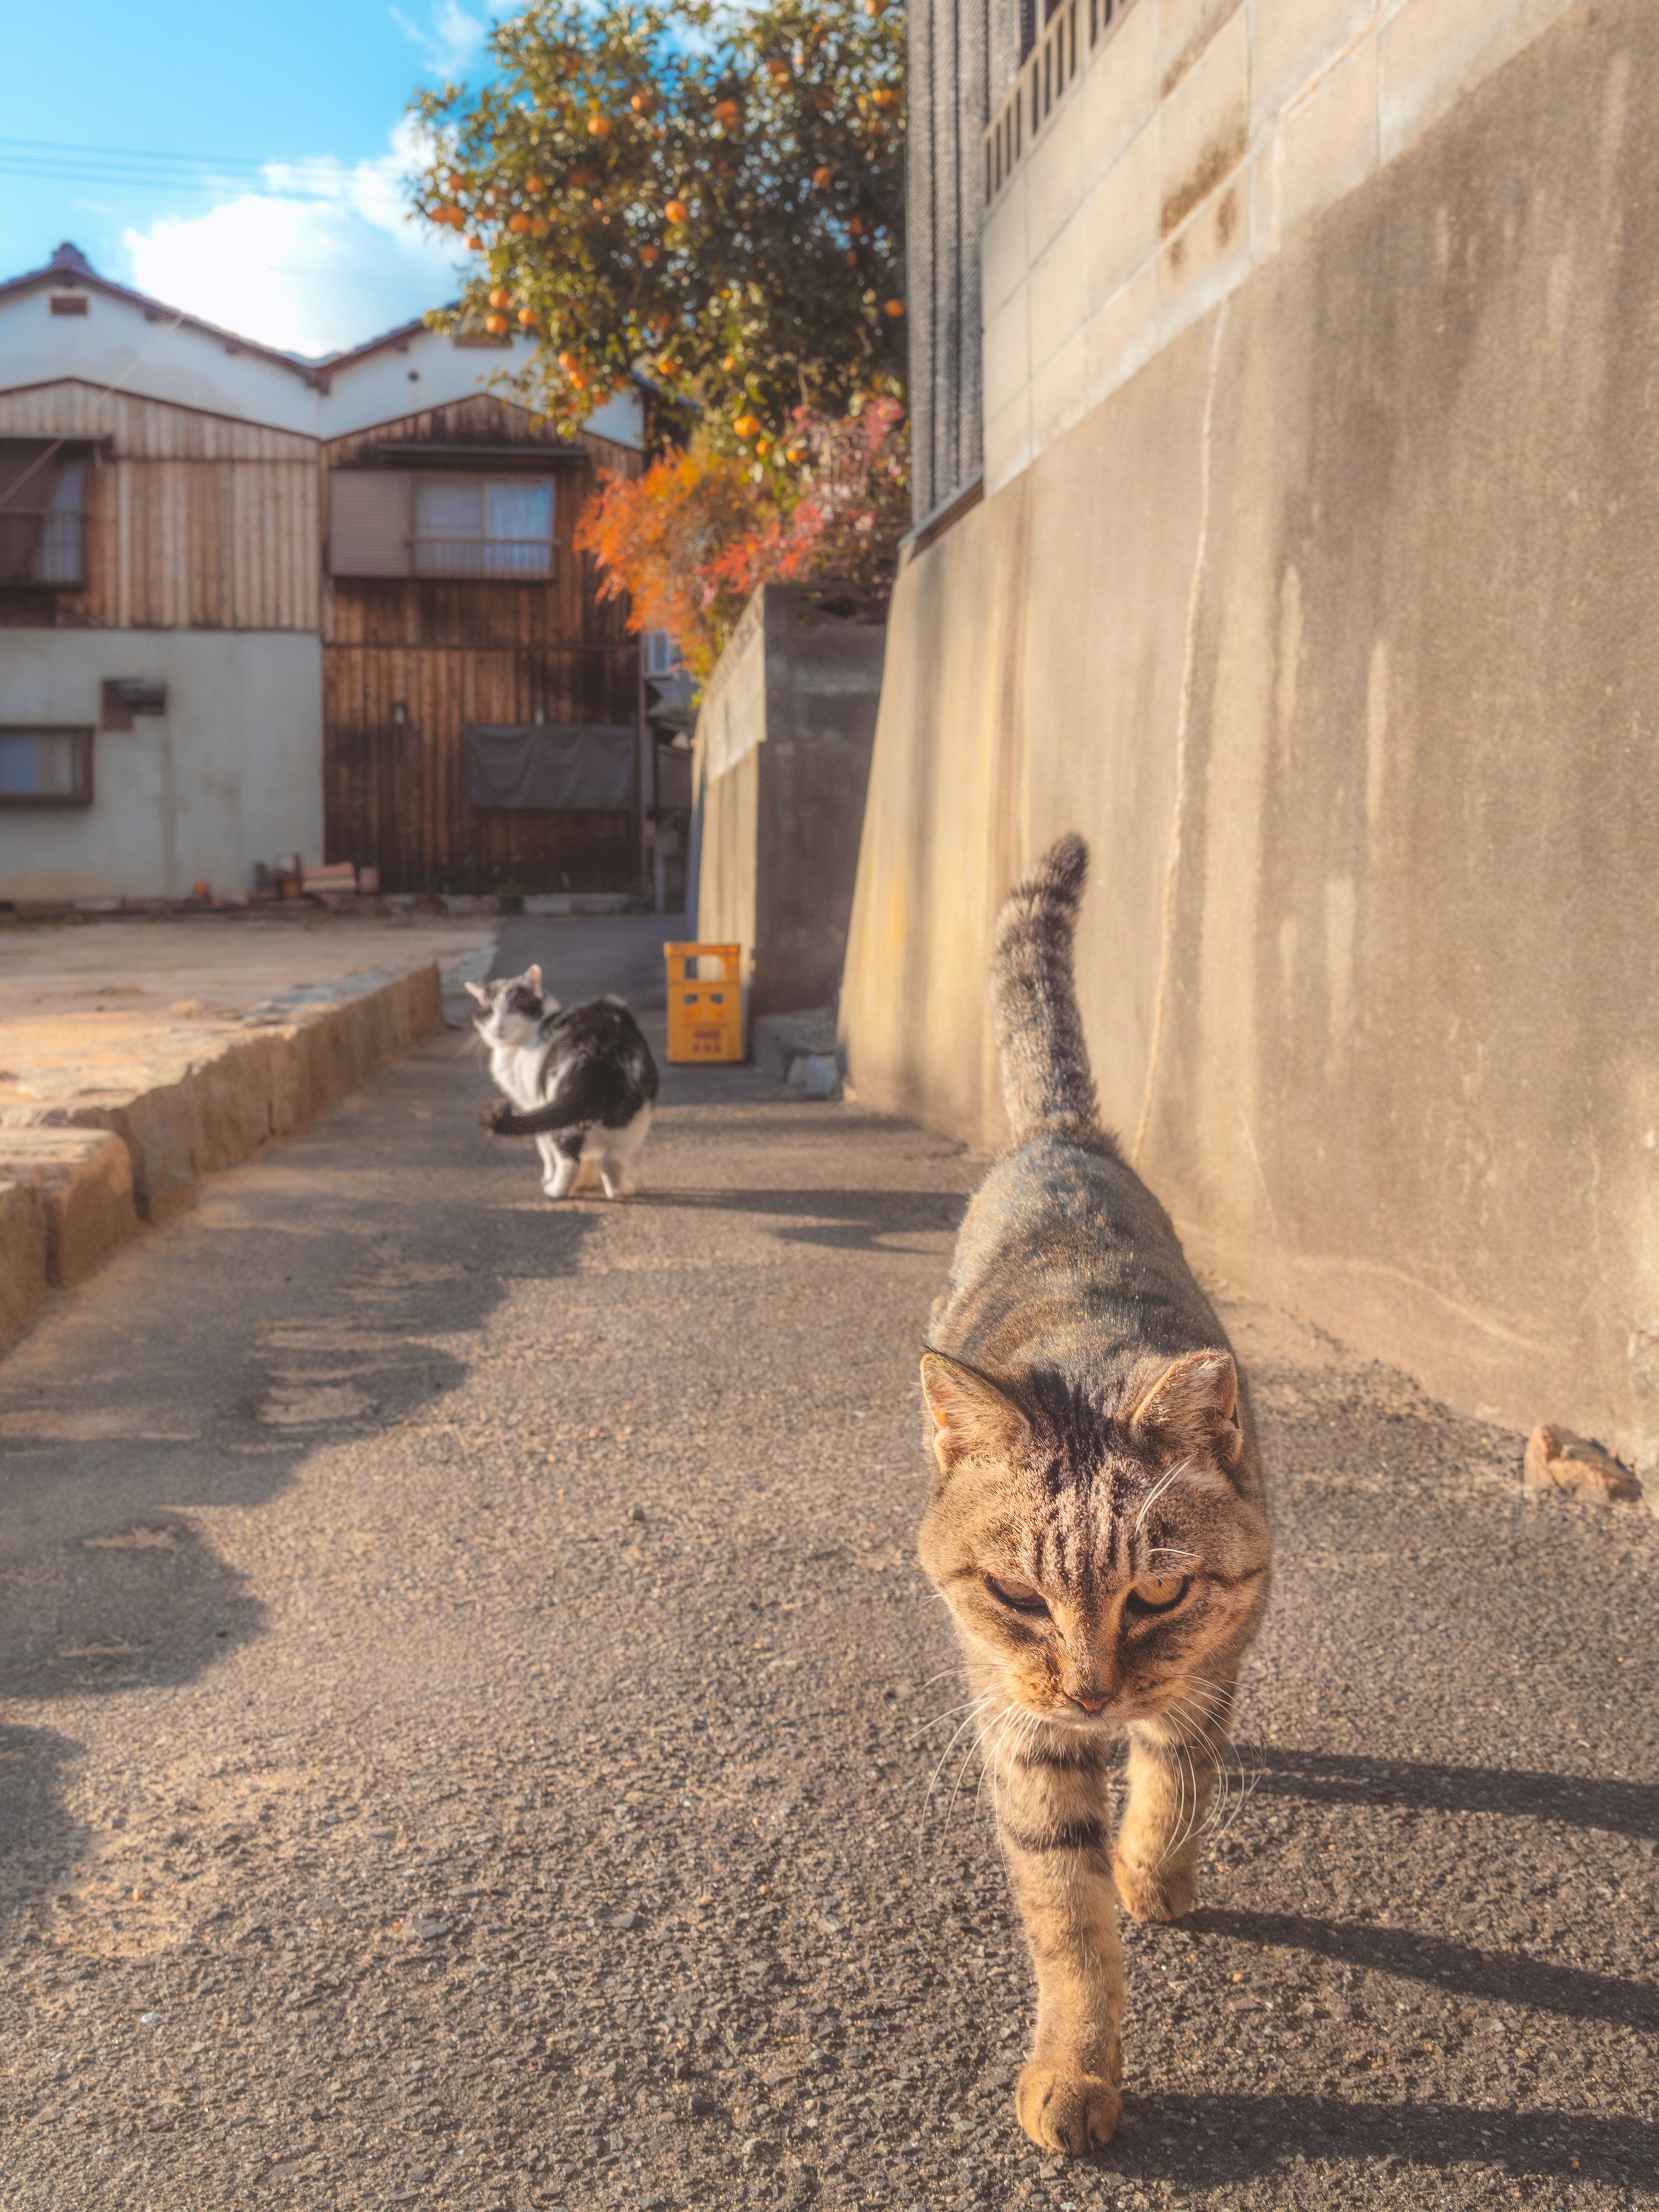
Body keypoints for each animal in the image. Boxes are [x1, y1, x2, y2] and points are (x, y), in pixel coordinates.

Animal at [471, 964, 659, 1203]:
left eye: (514, 1007)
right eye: (489, 1012)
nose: (498, 1028)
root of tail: (602, 1048)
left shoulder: (531, 1102)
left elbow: (545, 1150)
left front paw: (549, 1178)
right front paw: (588, 1181)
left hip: (556, 1104)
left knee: (568, 1157)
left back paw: (555, 1191)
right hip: (637, 1120)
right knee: (612, 1159)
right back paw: (621, 1190)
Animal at [925, 831, 1274, 2141]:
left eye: (1156, 1596)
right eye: (1019, 1595)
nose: (1089, 1691)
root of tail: (1062, 1132)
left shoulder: (1213, 1653)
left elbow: (1178, 1778)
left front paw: (1153, 1870)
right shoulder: (1025, 1734)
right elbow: (1068, 1922)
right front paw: (1076, 2068)